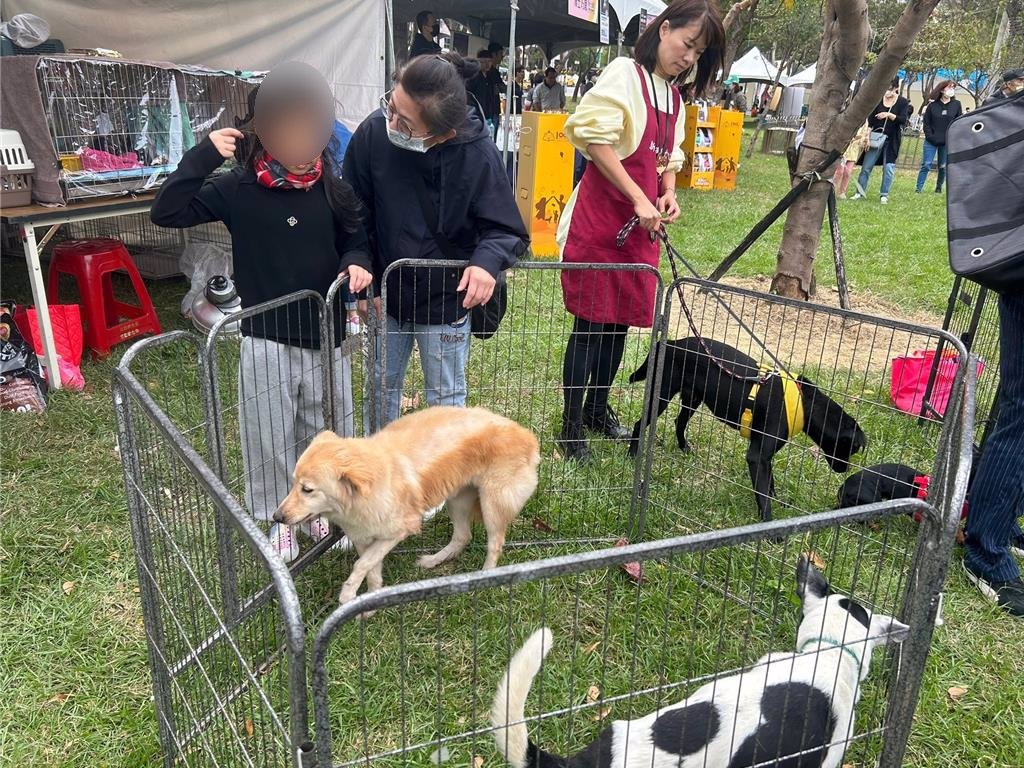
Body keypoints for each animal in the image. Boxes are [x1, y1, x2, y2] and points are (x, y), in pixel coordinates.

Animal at [272, 409, 544, 606]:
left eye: (307, 489)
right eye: (293, 483)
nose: (276, 517)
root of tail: (528, 435)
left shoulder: (398, 531)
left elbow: (361, 565)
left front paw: (348, 595)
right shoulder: (364, 537)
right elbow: (370, 568)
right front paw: (369, 603)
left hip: (491, 506)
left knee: (494, 544)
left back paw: (485, 577)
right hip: (456, 501)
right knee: (462, 537)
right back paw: (434, 560)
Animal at [626, 337, 868, 524]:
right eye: (851, 449)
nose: (845, 470)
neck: (805, 403)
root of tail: (672, 343)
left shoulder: (765, 456)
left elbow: (769, 484)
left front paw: (778, 502)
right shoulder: (757, 456)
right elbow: (763, 492)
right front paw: (768, 525)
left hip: (693, 398)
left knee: (679, 422)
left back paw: (684, 447)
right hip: (661, 396)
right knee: (640, 424)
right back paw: (632, 453)